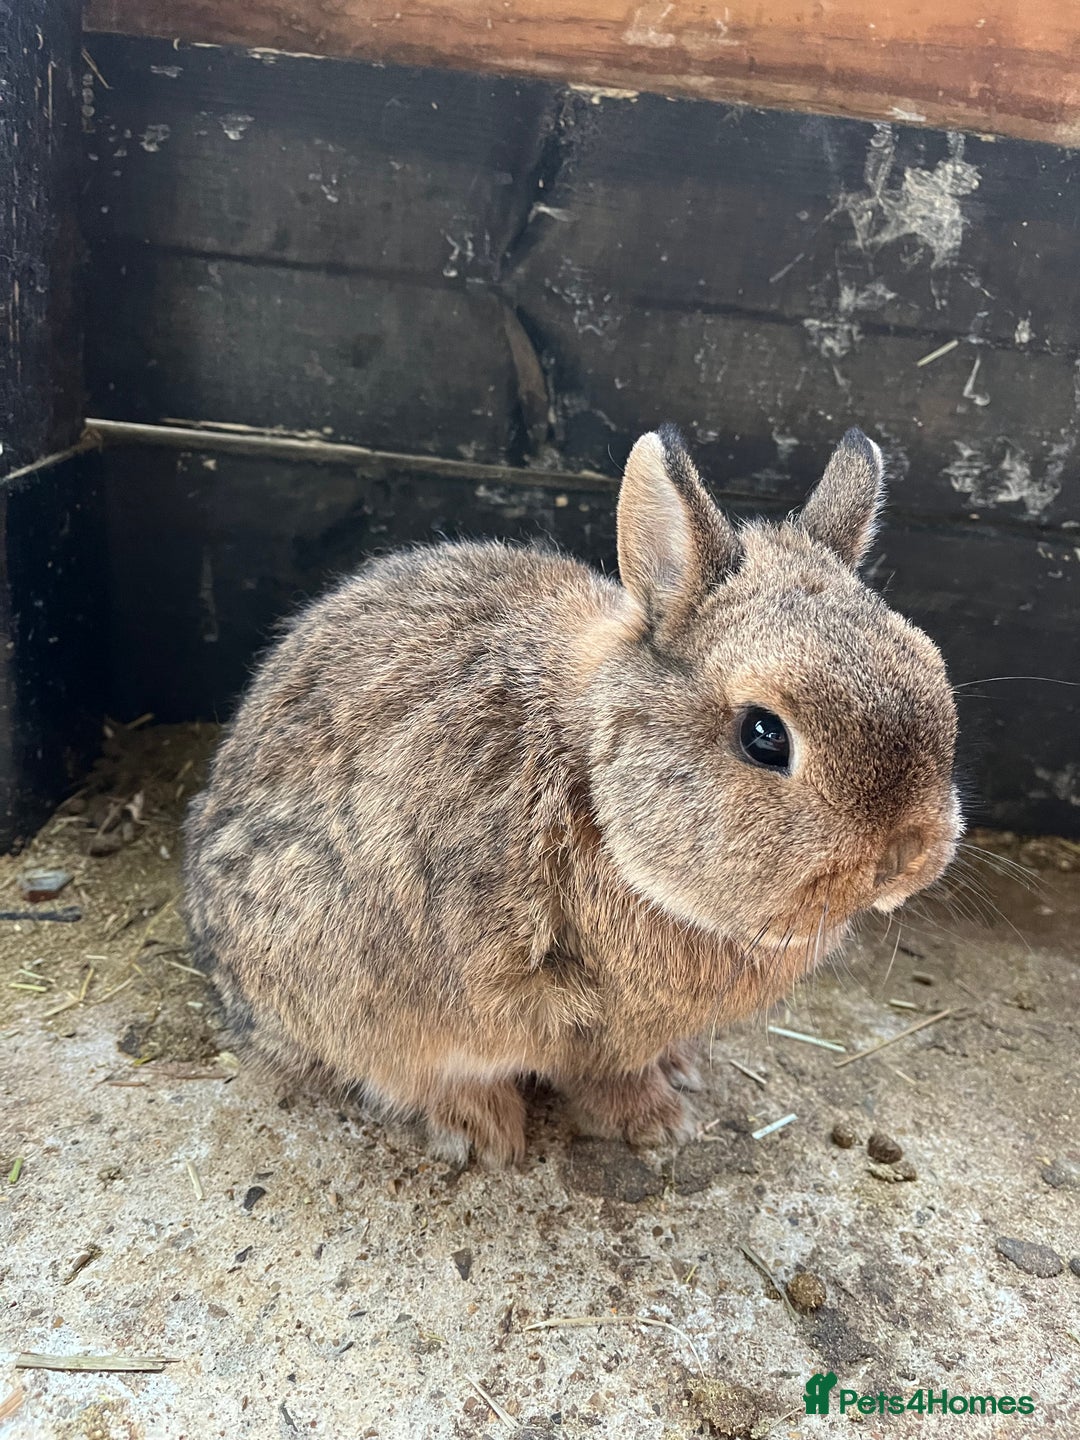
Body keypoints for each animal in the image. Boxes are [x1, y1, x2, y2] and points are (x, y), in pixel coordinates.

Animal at [183, 425, 961, 1167]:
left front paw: (675, 1081)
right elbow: (584, 1076)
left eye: (934, 674)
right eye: (765, 736)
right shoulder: (554, 1016)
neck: (593, 791)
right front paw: (650, 1125)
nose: (905, 856)